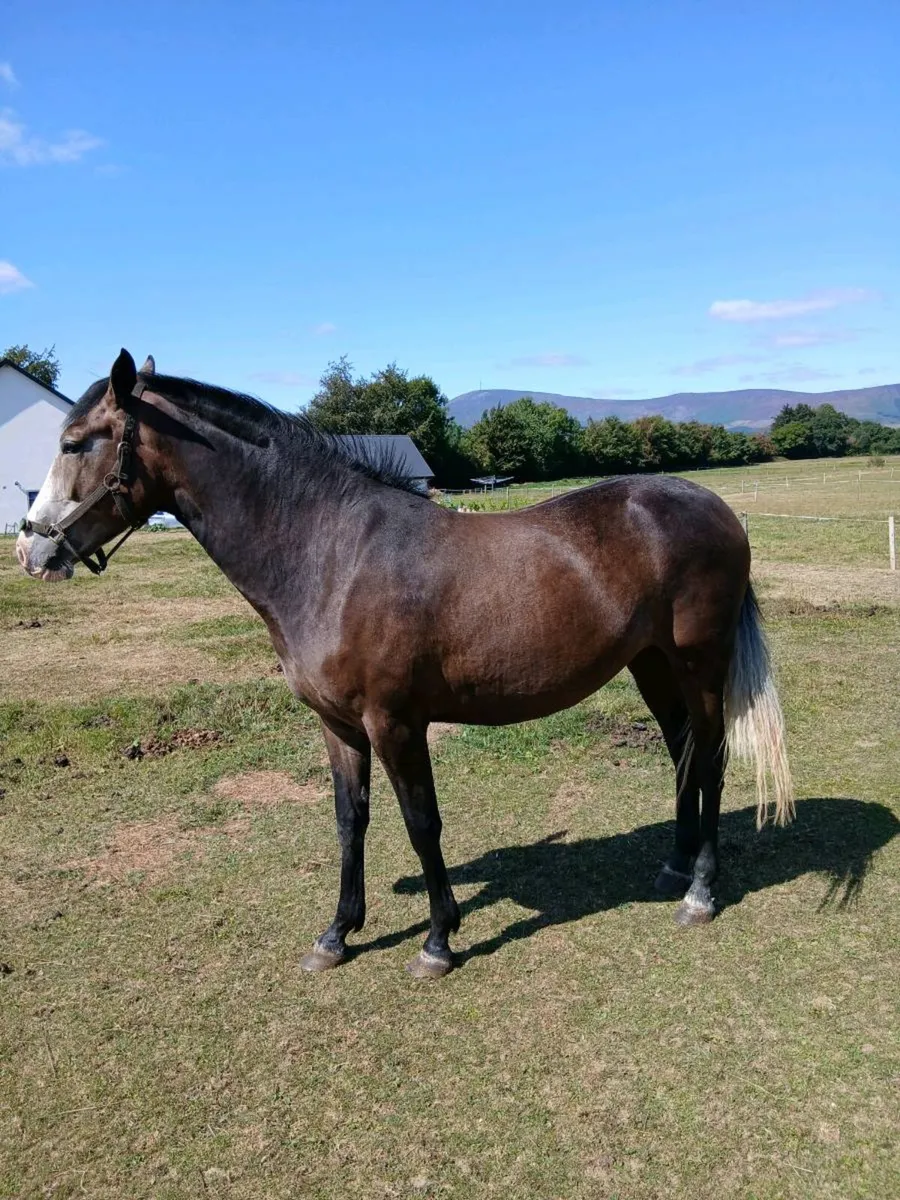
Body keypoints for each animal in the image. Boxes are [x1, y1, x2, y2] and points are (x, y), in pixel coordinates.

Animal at [16, 349, 793, 978]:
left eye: (75, 443)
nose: (31, 548)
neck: (332, 555)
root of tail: (713, 506)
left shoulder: (394, 724)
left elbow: (421, 823)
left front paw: (438, 941)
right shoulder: (338, 727)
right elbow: (349, 821)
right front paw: (337, 934)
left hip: (698, 666)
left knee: (712, 758)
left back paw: (701, 891)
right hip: (652, 666)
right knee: (683, 752)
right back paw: (674, 867)